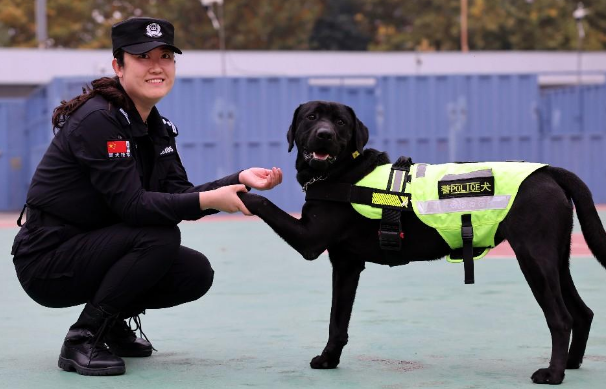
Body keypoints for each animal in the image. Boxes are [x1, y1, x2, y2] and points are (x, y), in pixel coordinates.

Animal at [239, 99, 606, 382]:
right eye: (311, 118)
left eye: (340, 122)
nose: (324, 135)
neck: (341, 175)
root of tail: (549, 171)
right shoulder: (345, 265)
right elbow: (337, 320)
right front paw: (329, 359)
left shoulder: (309, 240)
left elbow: (261, 202)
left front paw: (238, 190)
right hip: (555, 258)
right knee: (582, 312)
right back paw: (571, 363)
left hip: (534, 257)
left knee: (560, 318)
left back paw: (553, 374)